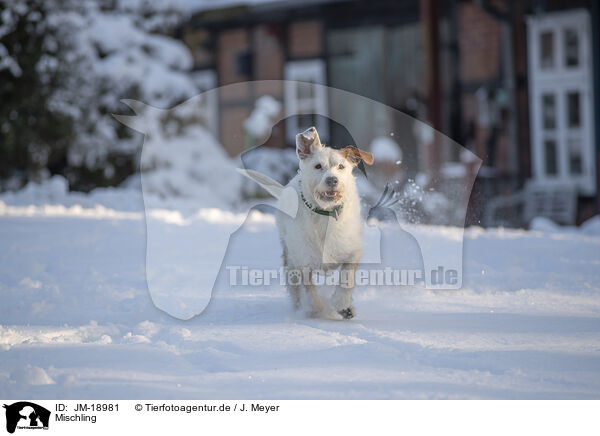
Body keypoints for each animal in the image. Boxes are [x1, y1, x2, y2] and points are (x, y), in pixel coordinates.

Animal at [276, 127, 370, 318]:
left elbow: (347, 278)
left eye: (341, 166)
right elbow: (309, 289)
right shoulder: (303, 260)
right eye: (318, 166)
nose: (332, 180)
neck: (325, 214)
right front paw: (316, 309)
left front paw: (342, 304)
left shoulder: (353, 252)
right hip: (289, 255)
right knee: (293, 283)